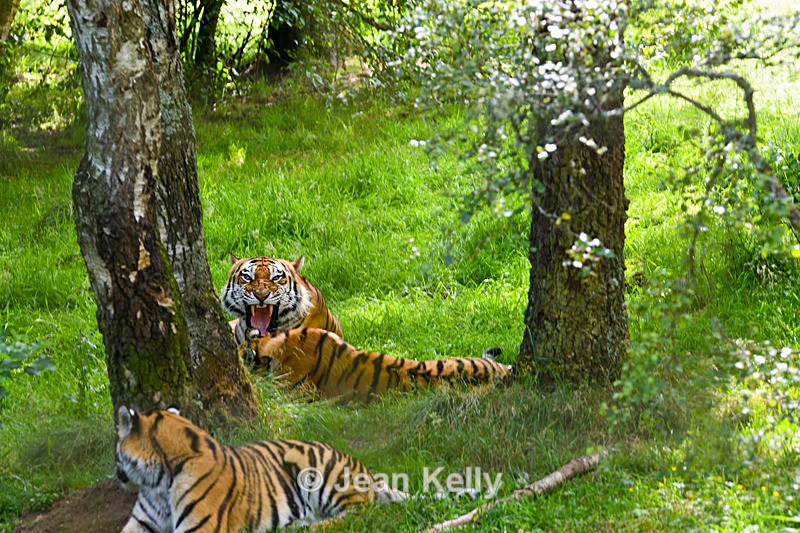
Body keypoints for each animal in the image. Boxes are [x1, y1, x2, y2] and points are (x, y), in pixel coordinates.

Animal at [115, 406, 408, 532]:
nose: (116, 473)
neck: (157, 483)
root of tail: (366, 471)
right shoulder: (142, 523)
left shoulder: (199, 529)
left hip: (317, 473)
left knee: (359, 513)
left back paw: (302, 527)